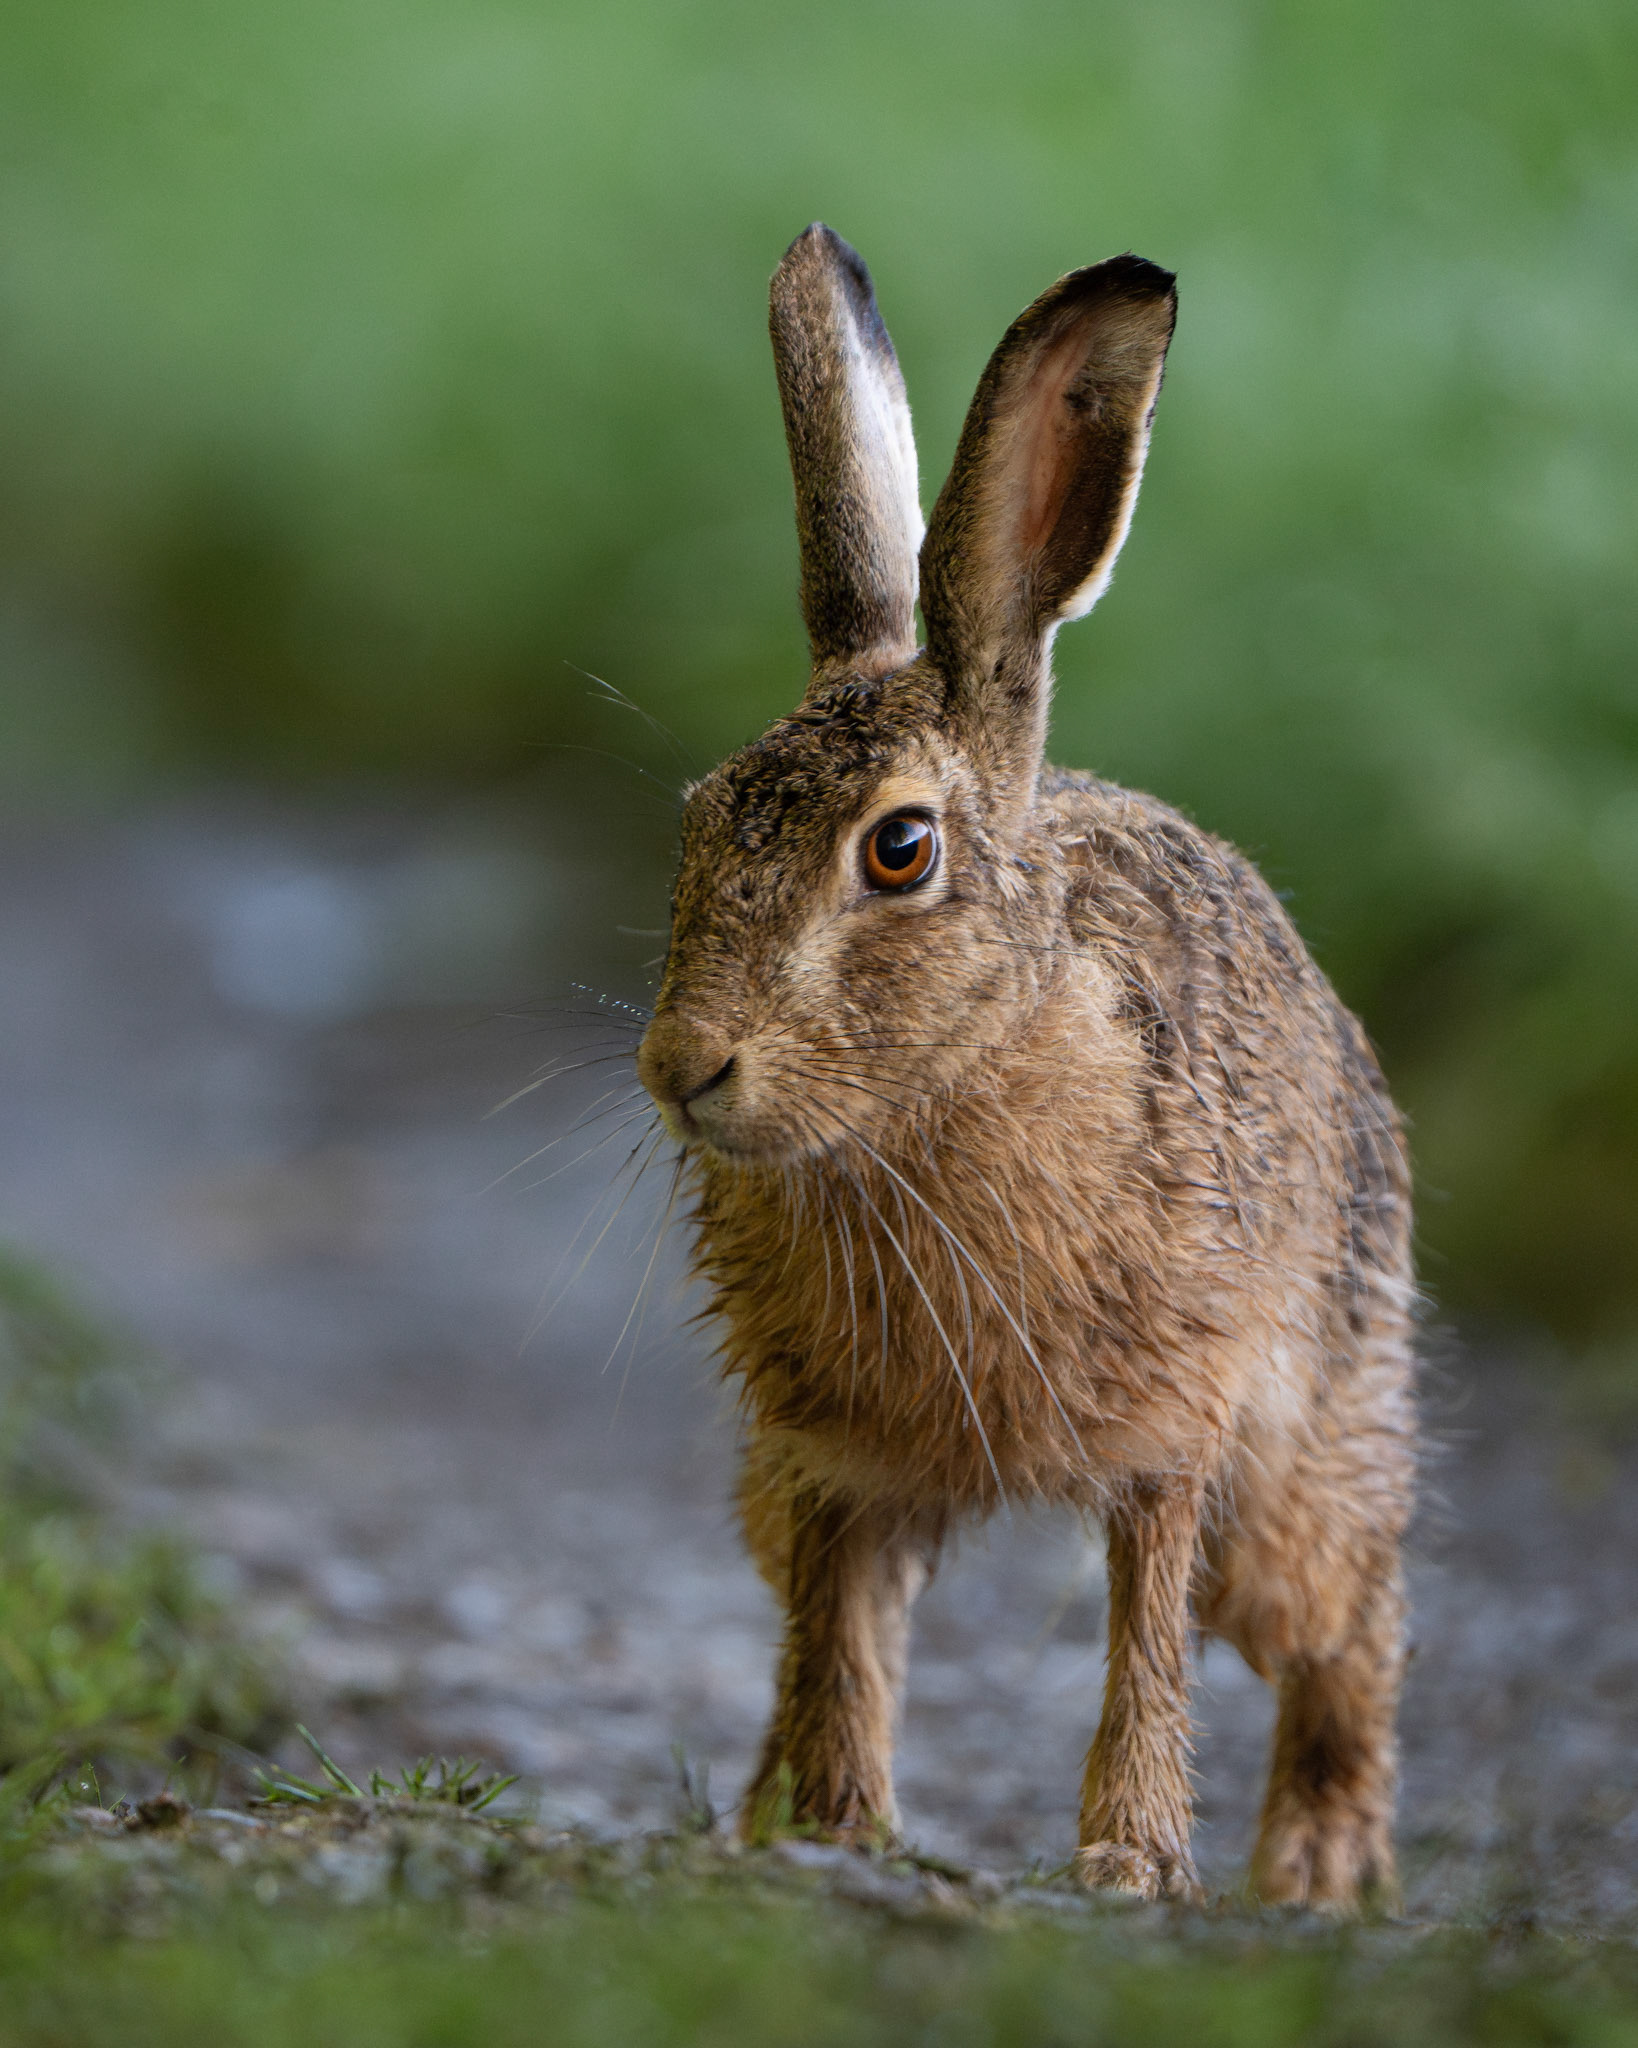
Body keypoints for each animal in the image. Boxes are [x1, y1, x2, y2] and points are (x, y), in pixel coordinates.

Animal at [635, 224, 1417, 1909]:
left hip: (1311, 1443)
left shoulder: (1175, 1428)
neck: (929, 1095)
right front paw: (825, 1829)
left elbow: (1145, 1638)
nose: (684, 1067)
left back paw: (1319, 1868)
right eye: (700, 816)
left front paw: (1125, 1865)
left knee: (1343, 1629)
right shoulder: (824, 1463)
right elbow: (835, 1633)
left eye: (900, 850)